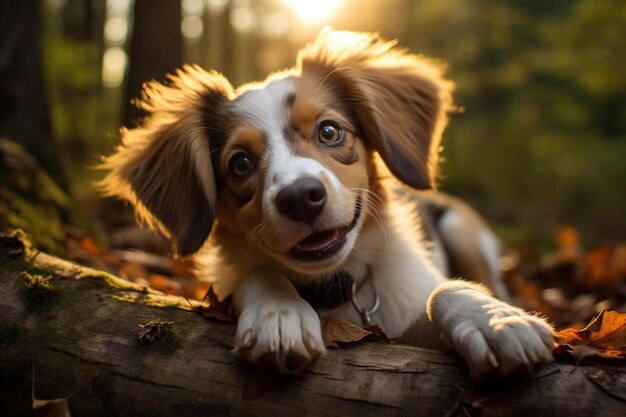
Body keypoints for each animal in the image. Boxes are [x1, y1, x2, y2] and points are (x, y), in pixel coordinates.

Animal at [98, 30, 552, 378]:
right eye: (240, 164)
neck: (336, 286)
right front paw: (279, 313)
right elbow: (260, 275)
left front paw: (493, 321)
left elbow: (441, 289)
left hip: (460, 229)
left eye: (330, 131)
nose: (300, 197)